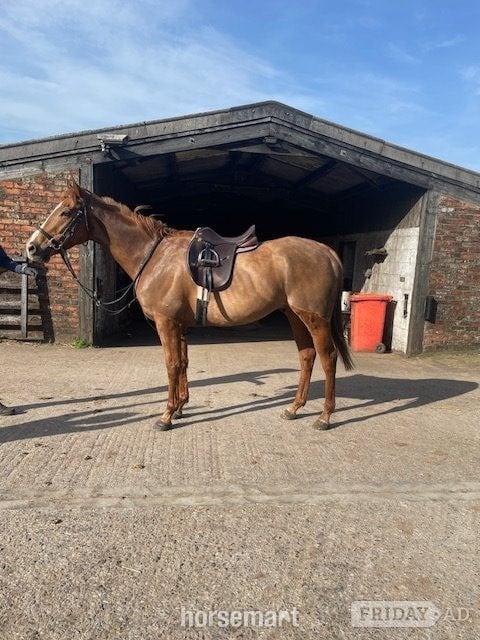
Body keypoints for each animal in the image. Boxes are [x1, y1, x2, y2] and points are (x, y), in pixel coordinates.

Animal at [26, 181, 353, 431]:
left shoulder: (166, 322)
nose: (31, 248)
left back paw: (325, 416)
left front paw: (166, 415)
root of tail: (327, 251)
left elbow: (171, 364)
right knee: (307, 356)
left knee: (328, 358)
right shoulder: (180, 324)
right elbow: (183, 363)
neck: (154, 255)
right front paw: (182, 406)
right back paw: (294, 408)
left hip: (314, 318)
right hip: (294, 315)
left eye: (66, 211)